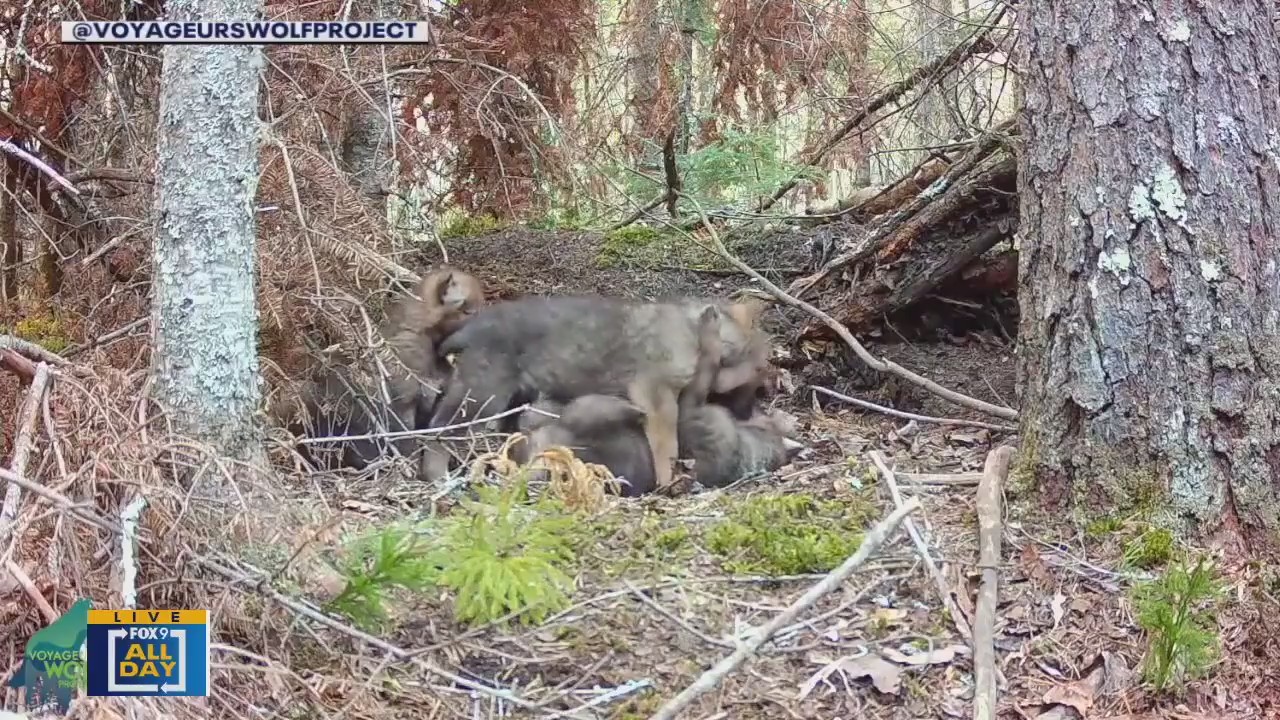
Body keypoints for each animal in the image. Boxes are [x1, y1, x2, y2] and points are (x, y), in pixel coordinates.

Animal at [426, 294, 770, 490]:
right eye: (756, 371)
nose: (749, 413)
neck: (691, 328)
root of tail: (465, 331)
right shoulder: (657, 397)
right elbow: (666, 448)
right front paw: (667, 481)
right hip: (480, 397)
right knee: (437, 432)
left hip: (510, 398)